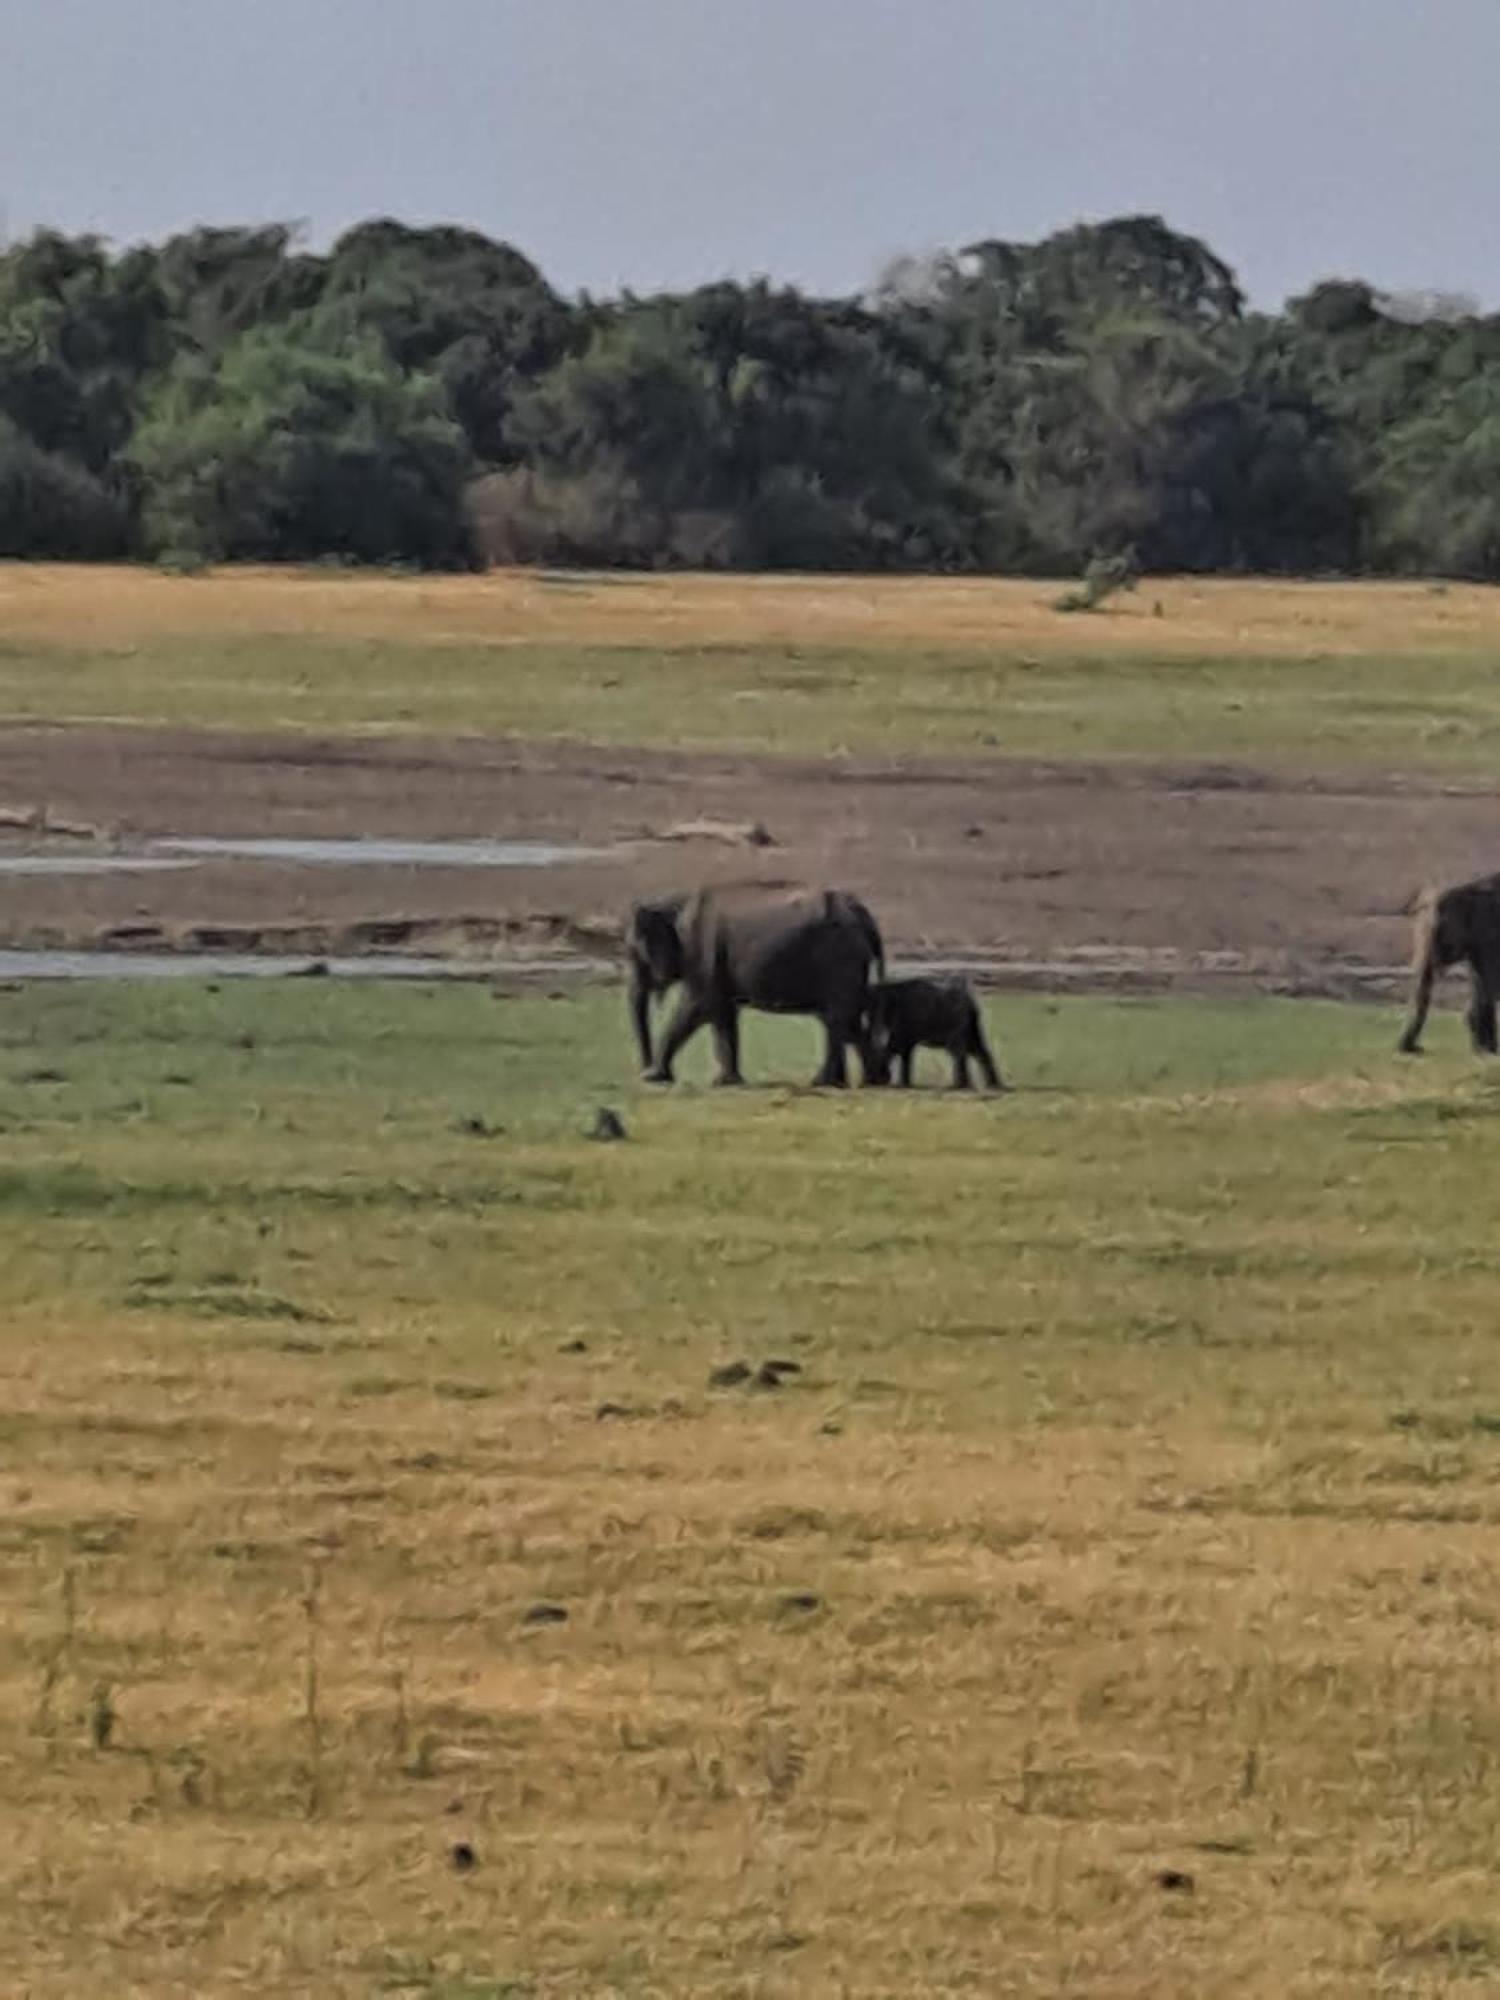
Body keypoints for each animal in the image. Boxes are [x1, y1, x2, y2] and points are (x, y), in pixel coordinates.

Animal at [624, 884, 888, 1088]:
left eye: (633, 955)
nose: (643, 1071)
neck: (671, 904)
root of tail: (862, 912)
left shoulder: (702, 956)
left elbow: (698, 1007)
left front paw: (656, 1077)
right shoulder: (716, 963)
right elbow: (724, 1014)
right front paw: (728, 1081)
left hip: (839, 959)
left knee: (837, 1018)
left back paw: (825, 1082)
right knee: (846, 1020)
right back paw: (867, 1081)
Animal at [864, 972, 1004, 1096]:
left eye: (877, 1057)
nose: (879, 1080)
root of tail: (970, 1001)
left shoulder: (903, 1032)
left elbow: (904, 1054)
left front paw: (903, 1084)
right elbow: (906, 1056)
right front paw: (905, 1084)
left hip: (958, 1028)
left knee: (959, 1053)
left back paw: (959, 1086)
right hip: (972, 1029)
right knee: (981, 1052)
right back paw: (993, 1085)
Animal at [1400, 880, 1500, 1064]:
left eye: (1437, 929)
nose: (1417, 1049)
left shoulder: (1490, 935)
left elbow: (1488, 984)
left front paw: (1488, 1052)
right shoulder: (1479, 941)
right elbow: (1479, 981)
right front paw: (1484, 1051)